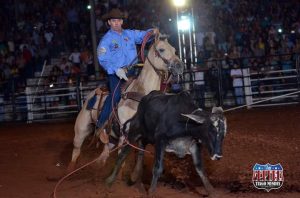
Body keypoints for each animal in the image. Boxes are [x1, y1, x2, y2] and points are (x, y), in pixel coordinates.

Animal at [67, 33, 184, 171]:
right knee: (76, 150)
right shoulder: (125, 135)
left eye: (175, 50)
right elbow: (121, 160)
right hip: (81, 130)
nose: (180, 66)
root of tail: (90, 95)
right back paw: (71, 168)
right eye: (161, 49)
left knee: (105, 150)